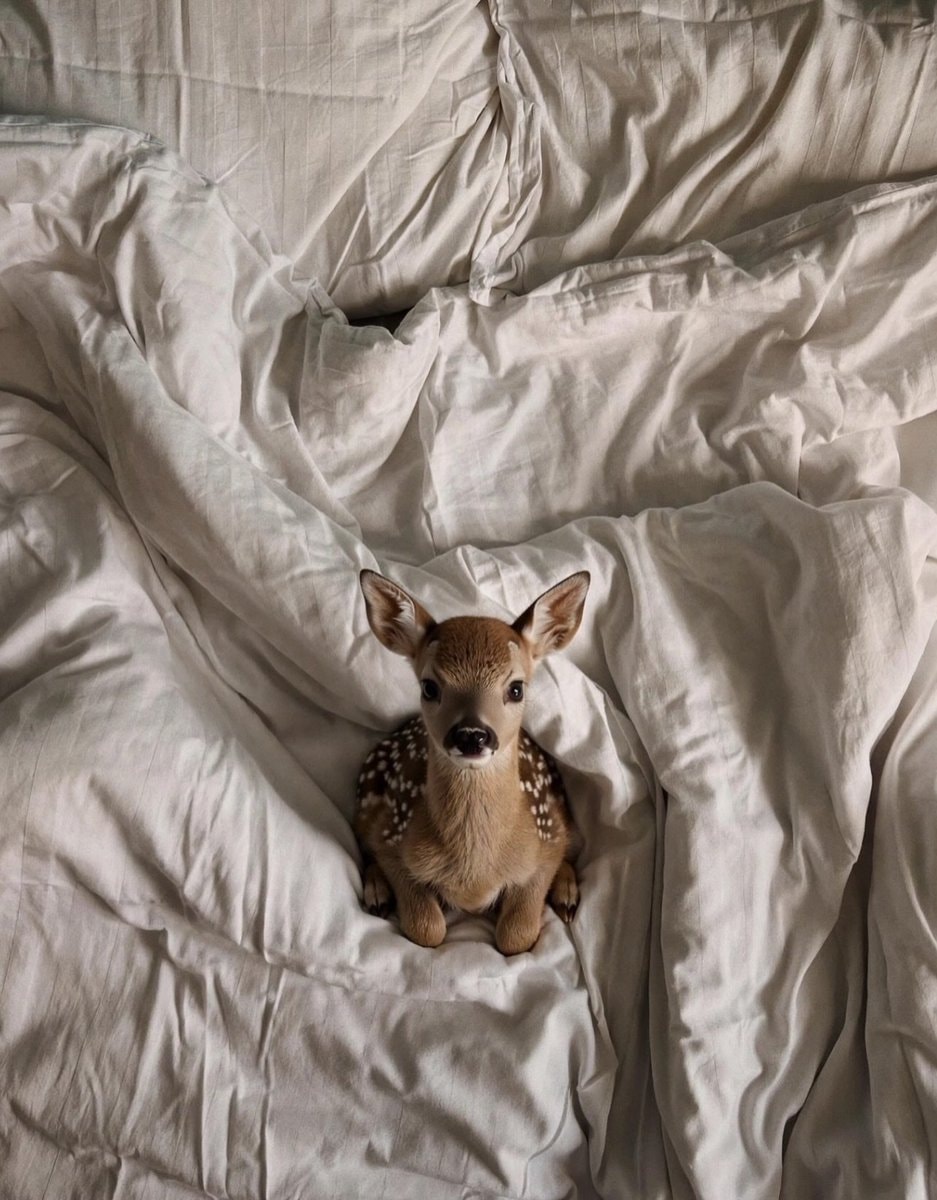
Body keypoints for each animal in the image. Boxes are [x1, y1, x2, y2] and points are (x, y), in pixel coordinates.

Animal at [354, 569, 590, 955]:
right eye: (429, 687)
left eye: (516, 688)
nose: (471, 735)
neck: (474, 874)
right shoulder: (389, 832)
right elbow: (426, 927)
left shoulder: (549, 834)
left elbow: (517, 935)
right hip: (365, 797)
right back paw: (377, 894)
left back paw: (567, 896)